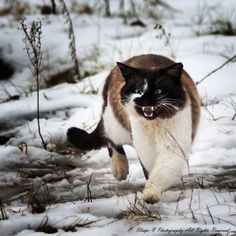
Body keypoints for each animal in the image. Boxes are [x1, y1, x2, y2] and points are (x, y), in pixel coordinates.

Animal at [67, 54, 200, 204]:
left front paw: (151, 194)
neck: (153, 126)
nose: (142, 99)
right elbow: (150, 172)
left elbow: (159, 174)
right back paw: (120, 170)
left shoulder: (172, 148)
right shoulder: (145, 150)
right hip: (117, 125)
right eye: (138, 91)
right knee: (109, 138)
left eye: (158, 91)